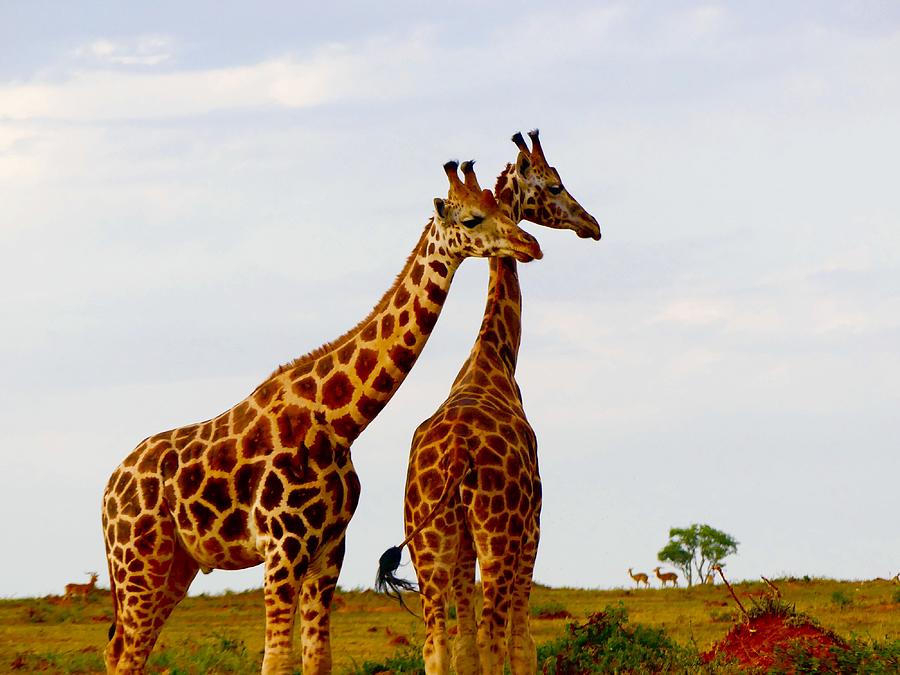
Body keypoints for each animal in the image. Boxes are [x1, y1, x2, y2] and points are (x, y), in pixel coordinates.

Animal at [102, 160, 544, 675]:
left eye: (503, 209)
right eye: (473, 219)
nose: (529, 245)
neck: (339, 419)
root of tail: (108, 490)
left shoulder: (328, 549)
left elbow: (318, 657)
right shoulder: (282, 549)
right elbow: (276, 660)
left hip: (175, 565)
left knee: (125, 649)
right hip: (139, 563)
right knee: (126, 651)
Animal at [376, 129, 600, 672]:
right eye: (555, 185)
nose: (593, 225)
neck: (495, 358)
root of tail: (458, 453)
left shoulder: (459, 548)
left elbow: (465, 650)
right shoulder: (532, 526)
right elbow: (522, 644)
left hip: (430, 544)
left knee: (437, 645)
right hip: (498, 537)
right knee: (496, 637)